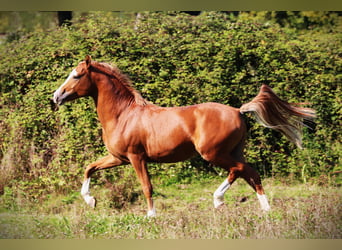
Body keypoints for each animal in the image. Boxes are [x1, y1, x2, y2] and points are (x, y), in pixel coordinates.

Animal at [52, 55, 316, 216]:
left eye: (76, 75)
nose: (56, 96)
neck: (124, 115)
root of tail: (237, 111)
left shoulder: (136, 158)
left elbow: (146, 186)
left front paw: (151, 216)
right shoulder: (118, 158)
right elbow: (89, 168)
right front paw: (91, 201)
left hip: (213, 153)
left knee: (240, 170)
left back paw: (219, 200)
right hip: (232, 151)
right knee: (250, 173)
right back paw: (265, 209)